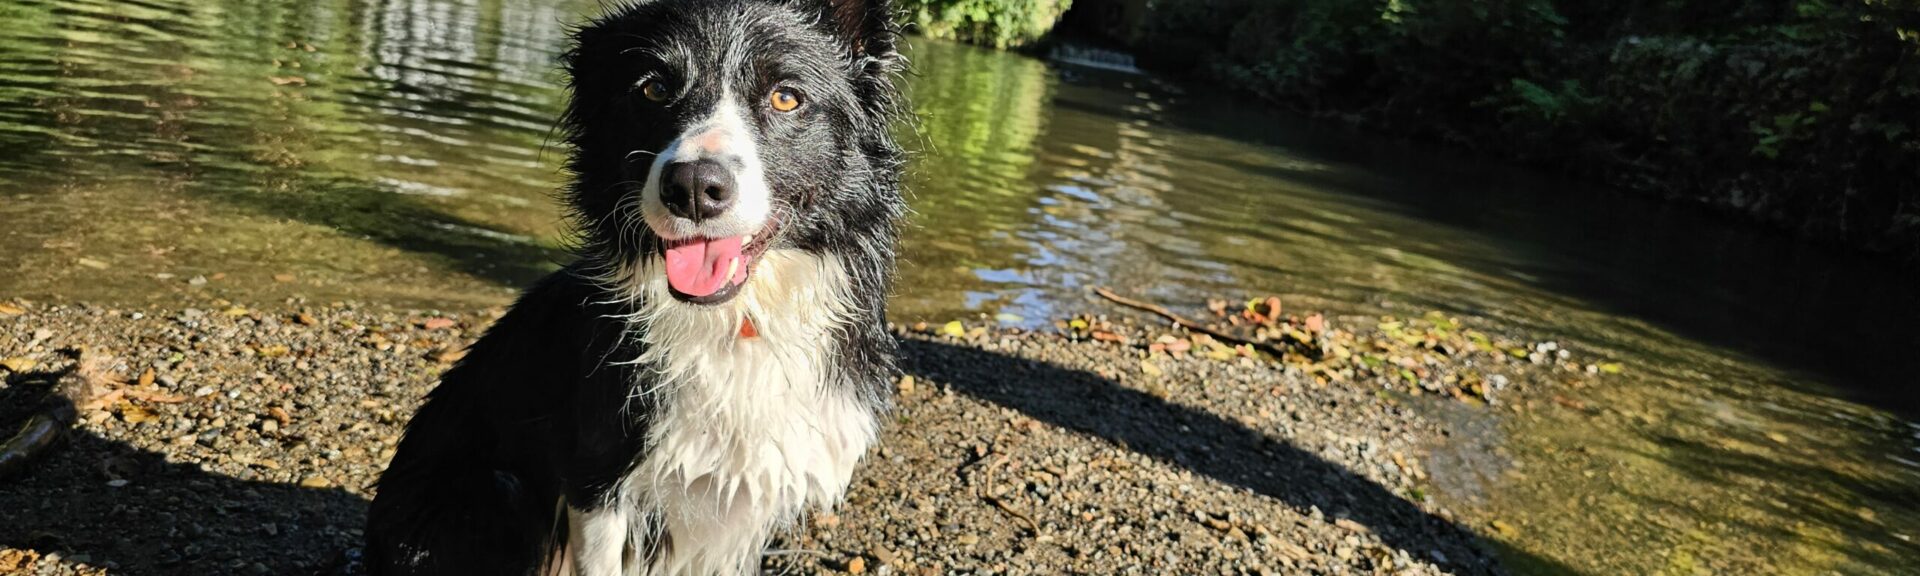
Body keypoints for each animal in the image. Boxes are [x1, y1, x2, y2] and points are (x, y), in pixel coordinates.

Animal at [366, 2, 906, 572]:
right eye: (653, 89)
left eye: (786, 96)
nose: (693, 187)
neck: (732, 322)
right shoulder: (597, 478)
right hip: (488, 492)